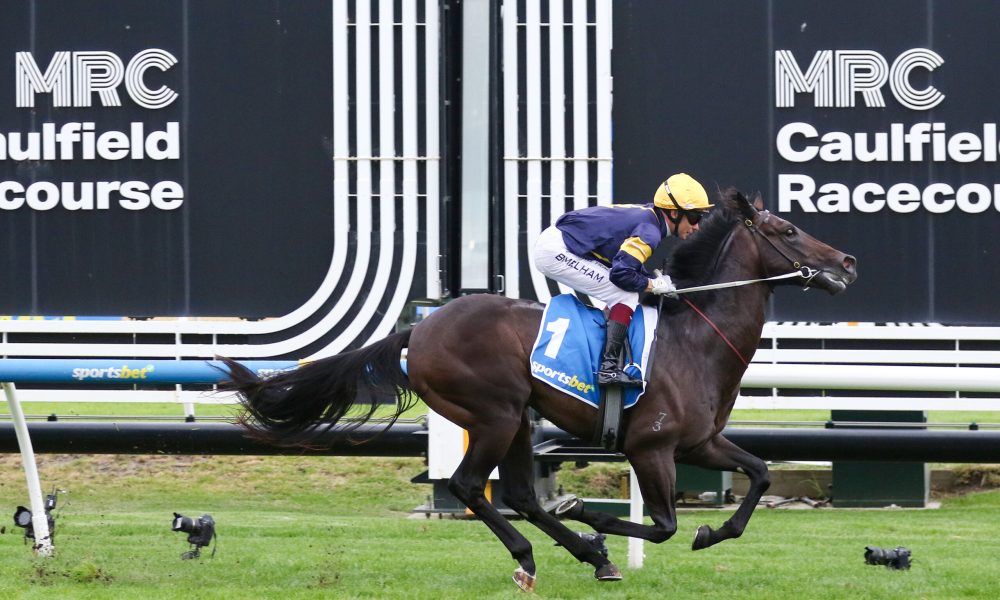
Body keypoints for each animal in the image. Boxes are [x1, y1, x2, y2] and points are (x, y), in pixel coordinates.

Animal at [222, 188, 857, 591]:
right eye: (788, 229)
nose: (847, 261)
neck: (696, 339)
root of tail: (419, 328)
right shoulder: (650, 447)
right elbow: (664, 524)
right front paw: (595, 519)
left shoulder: (700, 443)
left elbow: (760, 473)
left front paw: (714, 530)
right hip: (494, 414)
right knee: (470, 485)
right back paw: (548, 552)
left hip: (519, 418)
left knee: (522, 495)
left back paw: (587, 555)